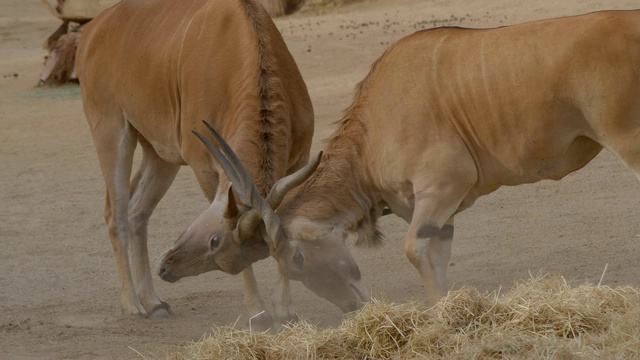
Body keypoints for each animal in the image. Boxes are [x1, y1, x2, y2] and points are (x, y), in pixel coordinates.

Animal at [76, 0, 314, 328]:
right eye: (215, 242)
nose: (167, 268)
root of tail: (92, 30)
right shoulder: (205, 167)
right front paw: (258, 311)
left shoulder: (299, 162)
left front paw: (285, 310)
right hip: (111, 130)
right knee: (117, 214)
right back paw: (133, 305)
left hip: (159, 154)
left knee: (138, 211)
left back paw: (153, 302)